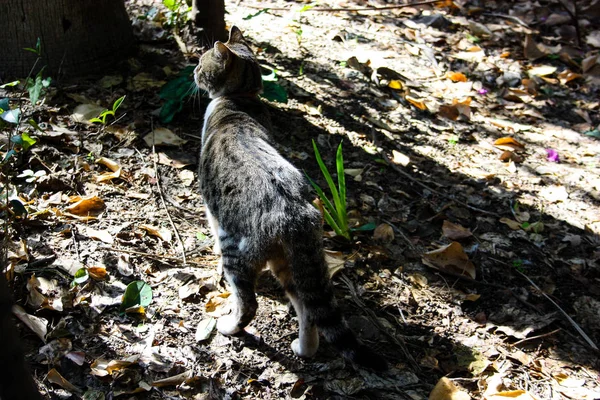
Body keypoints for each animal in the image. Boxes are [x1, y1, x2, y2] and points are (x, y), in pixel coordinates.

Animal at [195, 25, 386, 372]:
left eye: (202, 63)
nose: (193, 71)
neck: (241, 101)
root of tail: (294, 213)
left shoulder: (212, 207)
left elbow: (213, 229)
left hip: (239, 254)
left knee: (249, 304)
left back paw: (229, 326)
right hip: (293, 264)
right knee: (308, 308)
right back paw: (304, 349)